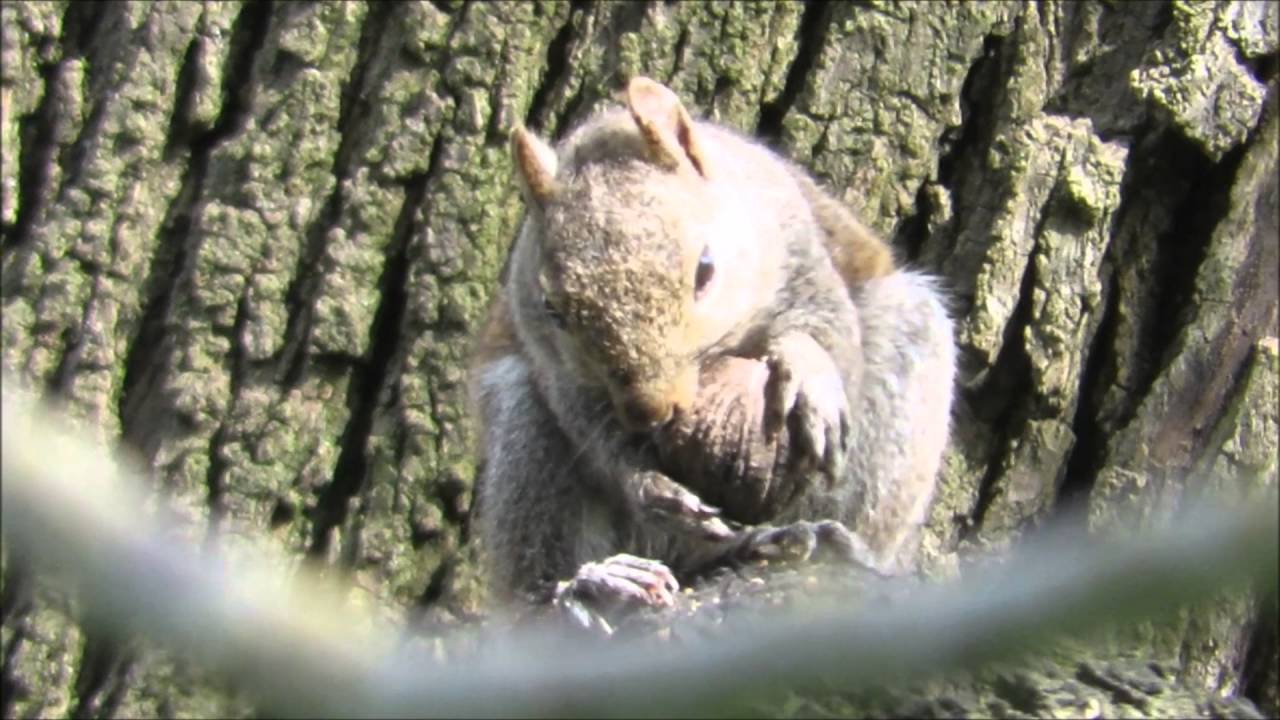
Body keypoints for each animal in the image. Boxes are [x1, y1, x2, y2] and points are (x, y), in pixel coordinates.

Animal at [469, 77, 955, 629]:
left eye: (705, 269)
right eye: (553, 309)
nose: (651, 410)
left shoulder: (802, 258)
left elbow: (828, 335)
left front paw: (811, 376)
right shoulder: (556, 368)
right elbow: (592, 433)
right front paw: (647, 484)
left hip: (908, 353)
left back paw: (820, 542)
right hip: (523, 432)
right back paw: (590, 587)